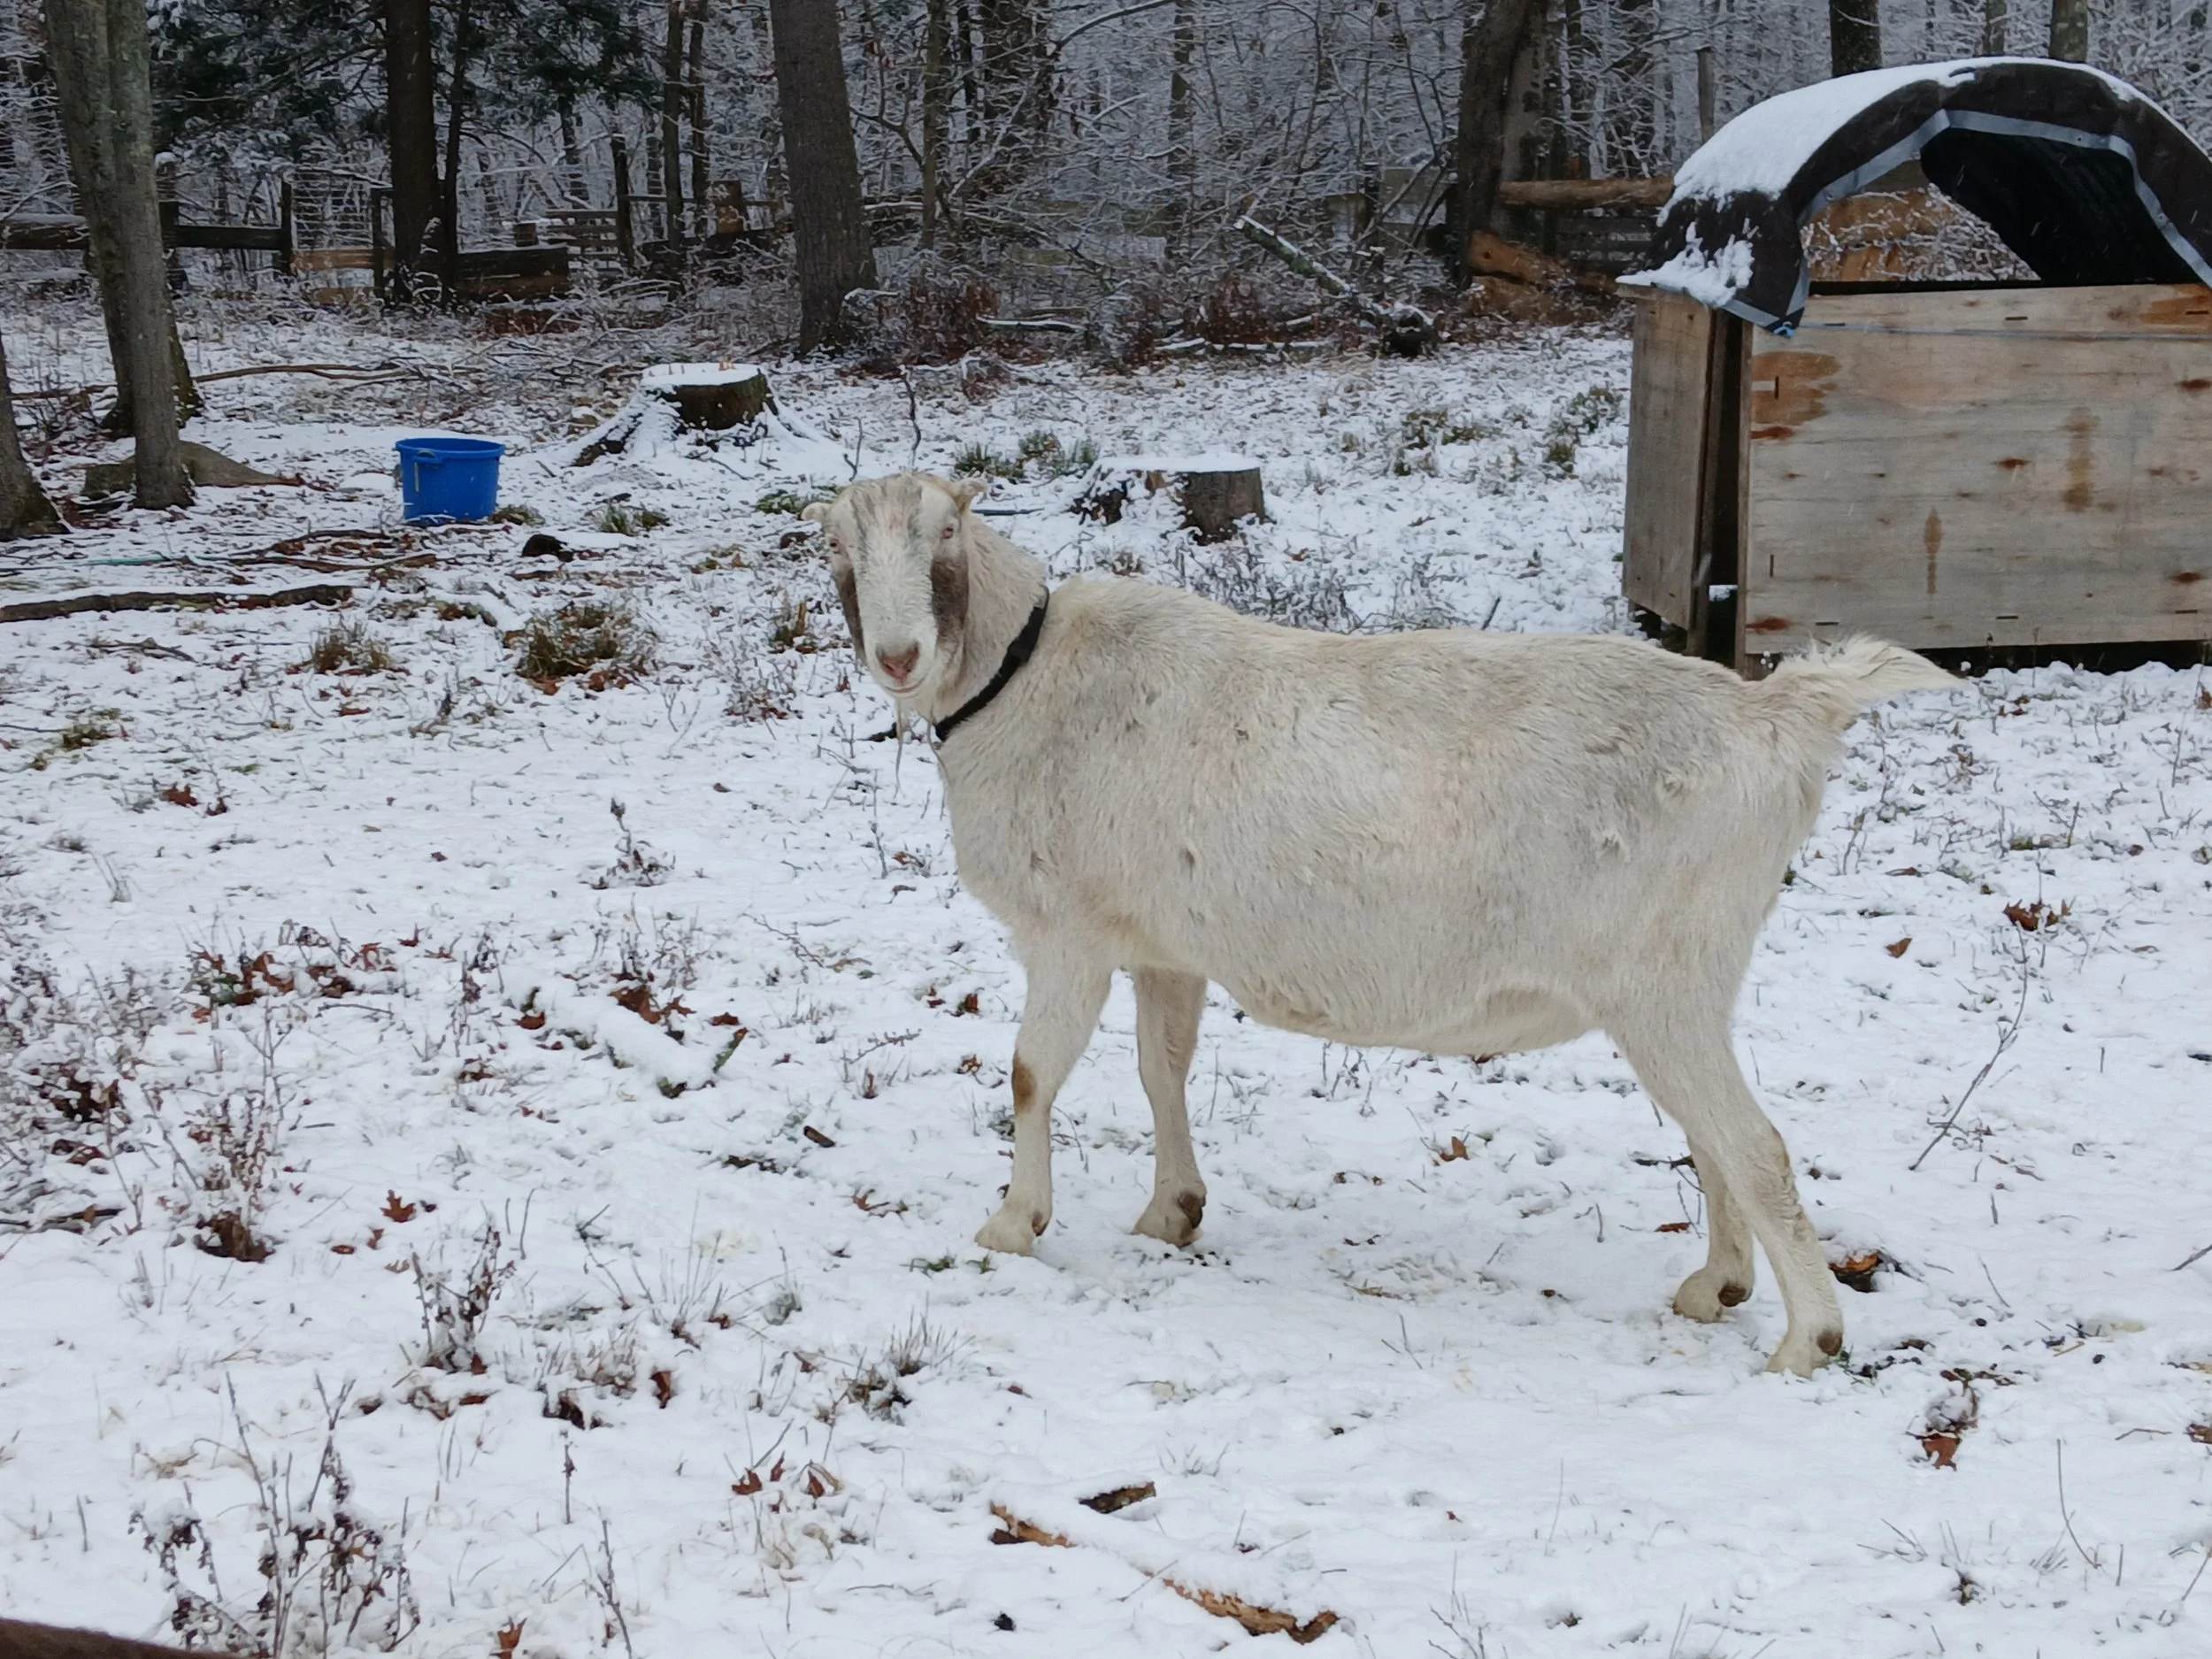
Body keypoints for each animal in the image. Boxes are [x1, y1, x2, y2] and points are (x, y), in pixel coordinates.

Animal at [804, 472, 1955, 1374]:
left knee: (1752, 1147)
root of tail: (1777, 718)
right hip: (1681, 987)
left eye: (945, 534)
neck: (1025, 673)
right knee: (1714, 1137)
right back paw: (1714, 1287)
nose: (899, 656)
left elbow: (1030, 1075)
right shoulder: (1163, 947)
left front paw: (1013, 1224)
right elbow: (1161, 1069)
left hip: (1665, 979)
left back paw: (1806, 1340)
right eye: (838, 545)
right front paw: (1172, 1213)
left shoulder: (1067, 935)